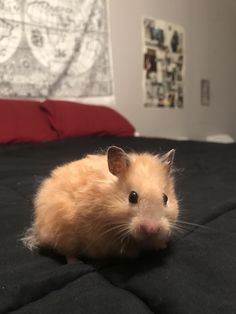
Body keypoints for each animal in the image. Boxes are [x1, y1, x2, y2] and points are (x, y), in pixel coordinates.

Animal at [23, 146, 179, 262]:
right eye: (132, 197)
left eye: (165, 198)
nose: (152, 229)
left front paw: (161, 246)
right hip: (61, 230)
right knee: (66, 251)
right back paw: (75, 261)